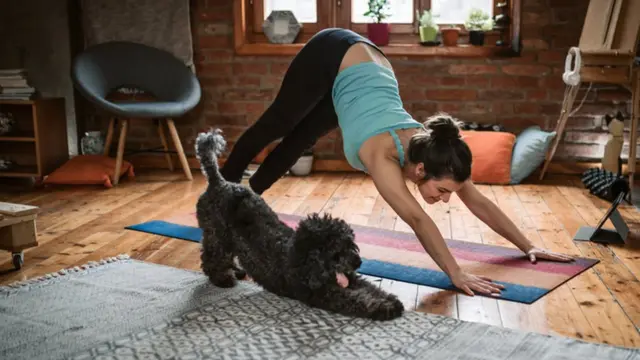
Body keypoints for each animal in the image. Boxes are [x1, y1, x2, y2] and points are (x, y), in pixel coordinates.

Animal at [196, 129, 404, 320]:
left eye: (351, 245)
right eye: (337, 251)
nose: (358, 262)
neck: (304, 258)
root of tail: (218, 182)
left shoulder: (350, 278)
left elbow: (370, 287)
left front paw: (390, 299)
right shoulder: (324, 294)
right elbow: (357, 299)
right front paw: (383, 308)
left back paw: (236, 271)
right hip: (217, 235)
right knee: (210, 258)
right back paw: (222, 278)